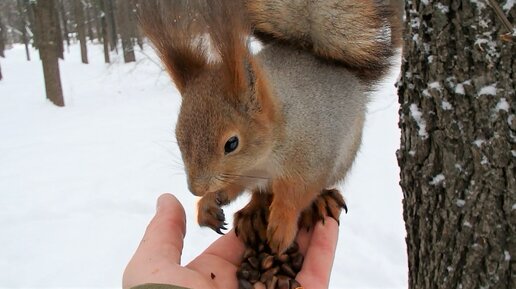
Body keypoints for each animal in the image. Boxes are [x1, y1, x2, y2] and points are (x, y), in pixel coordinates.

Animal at [139, 0, 402, 252]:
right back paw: (253, 213)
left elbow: (296, 194)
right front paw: (209, 202)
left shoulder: (310, 160)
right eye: (178, 136)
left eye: (231, 143)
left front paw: (283, 224)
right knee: (261, 193)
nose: (197, 189)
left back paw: (321, 201)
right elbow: (238, 185)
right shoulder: (243, 173)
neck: (262, 160)